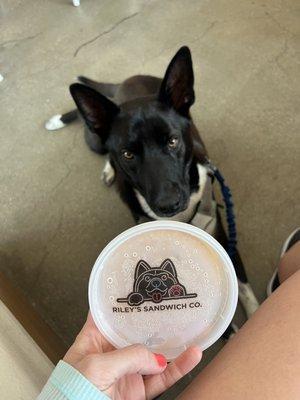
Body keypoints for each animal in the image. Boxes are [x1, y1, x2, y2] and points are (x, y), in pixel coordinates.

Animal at [45, 46, 258, 322]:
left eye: (173, 141)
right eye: (128, 154)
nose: (168, 205)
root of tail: (126, 81)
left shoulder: (221, 236)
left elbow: (244, 288)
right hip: (95, 140)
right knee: (100, 145)